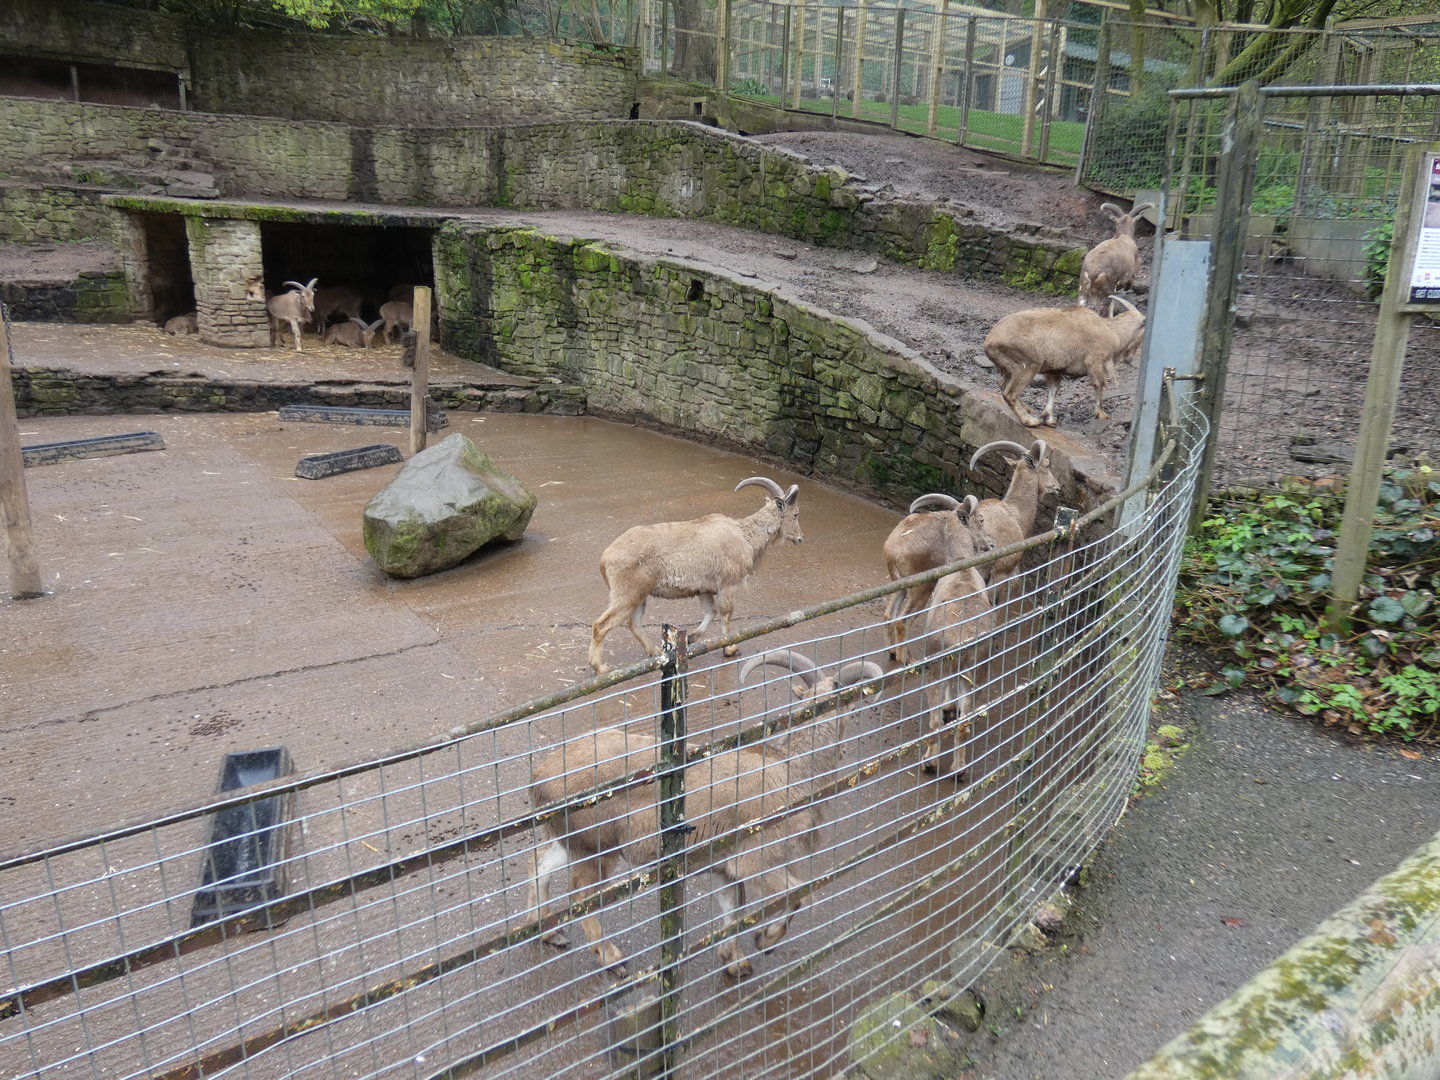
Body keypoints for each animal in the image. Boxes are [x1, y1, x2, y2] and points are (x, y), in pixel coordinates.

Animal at [528, 648, 878, 977]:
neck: (793, 767)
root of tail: (539, 776)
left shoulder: (724, 866)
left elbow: (733, 907)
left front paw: (735, 962)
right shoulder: (757, 859)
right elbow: (801, 895)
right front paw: (764, 941)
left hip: (574, 842)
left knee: (540, 865)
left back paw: (549, 933)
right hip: (597, 848)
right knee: (579, 896)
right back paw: (612, 959)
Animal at [588, 477, 802, 675]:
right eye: (795, 514)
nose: (800, 538)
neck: (745, 535)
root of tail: (604, 558)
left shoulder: (704, 588)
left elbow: (710, 611)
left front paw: (691, 638)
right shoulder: (728, 583)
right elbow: (726, 613)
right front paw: (730, 648)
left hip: (640, 595)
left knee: (633, 623)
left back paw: (655, 651)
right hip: (627, 594)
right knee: (601, 625)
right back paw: (601, 667)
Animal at [882, 493, 982, 667]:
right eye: (980, 521)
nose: (989, 545)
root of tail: (892, 551)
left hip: (899, 585)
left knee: (890, 615)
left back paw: (893, 652)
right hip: (922, 587)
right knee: (903, 620)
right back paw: (908, 660)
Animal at [983, 296, 1144, 428]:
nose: (1130, 359)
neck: (1112, 331)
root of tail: (989, 341)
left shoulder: (1054, 370)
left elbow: (1053, 390)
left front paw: (1049, 419)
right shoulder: (1095, 361)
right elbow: (1099, 385)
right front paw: (1101, 414)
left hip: (1009, 367)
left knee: (1003, 385)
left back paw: (1028, 409)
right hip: (1028, 365)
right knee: (1009, 393)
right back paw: (1030, 420)